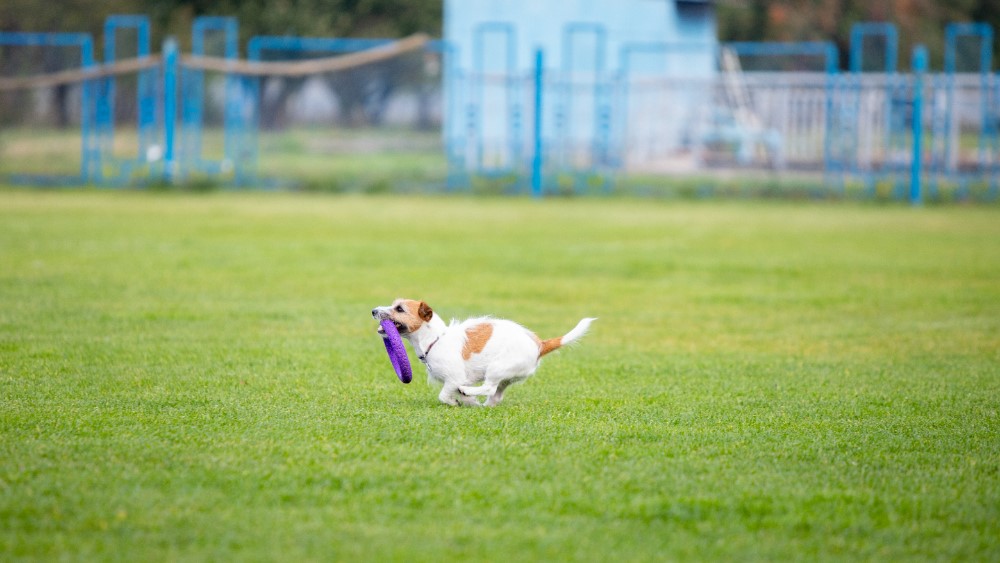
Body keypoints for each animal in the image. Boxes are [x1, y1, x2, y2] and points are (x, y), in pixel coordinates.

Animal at [374, 298, 592, 408]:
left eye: (399, 309)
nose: (373, 310)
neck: (435, 339)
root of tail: (539, 344)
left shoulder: (454, 378)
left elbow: (444, 395)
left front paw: (456, 401)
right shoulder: (457, 380)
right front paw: (467, 401)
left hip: (497, 368)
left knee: (489, 388)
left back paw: (469, 393)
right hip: (506, 377)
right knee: (495, 395)